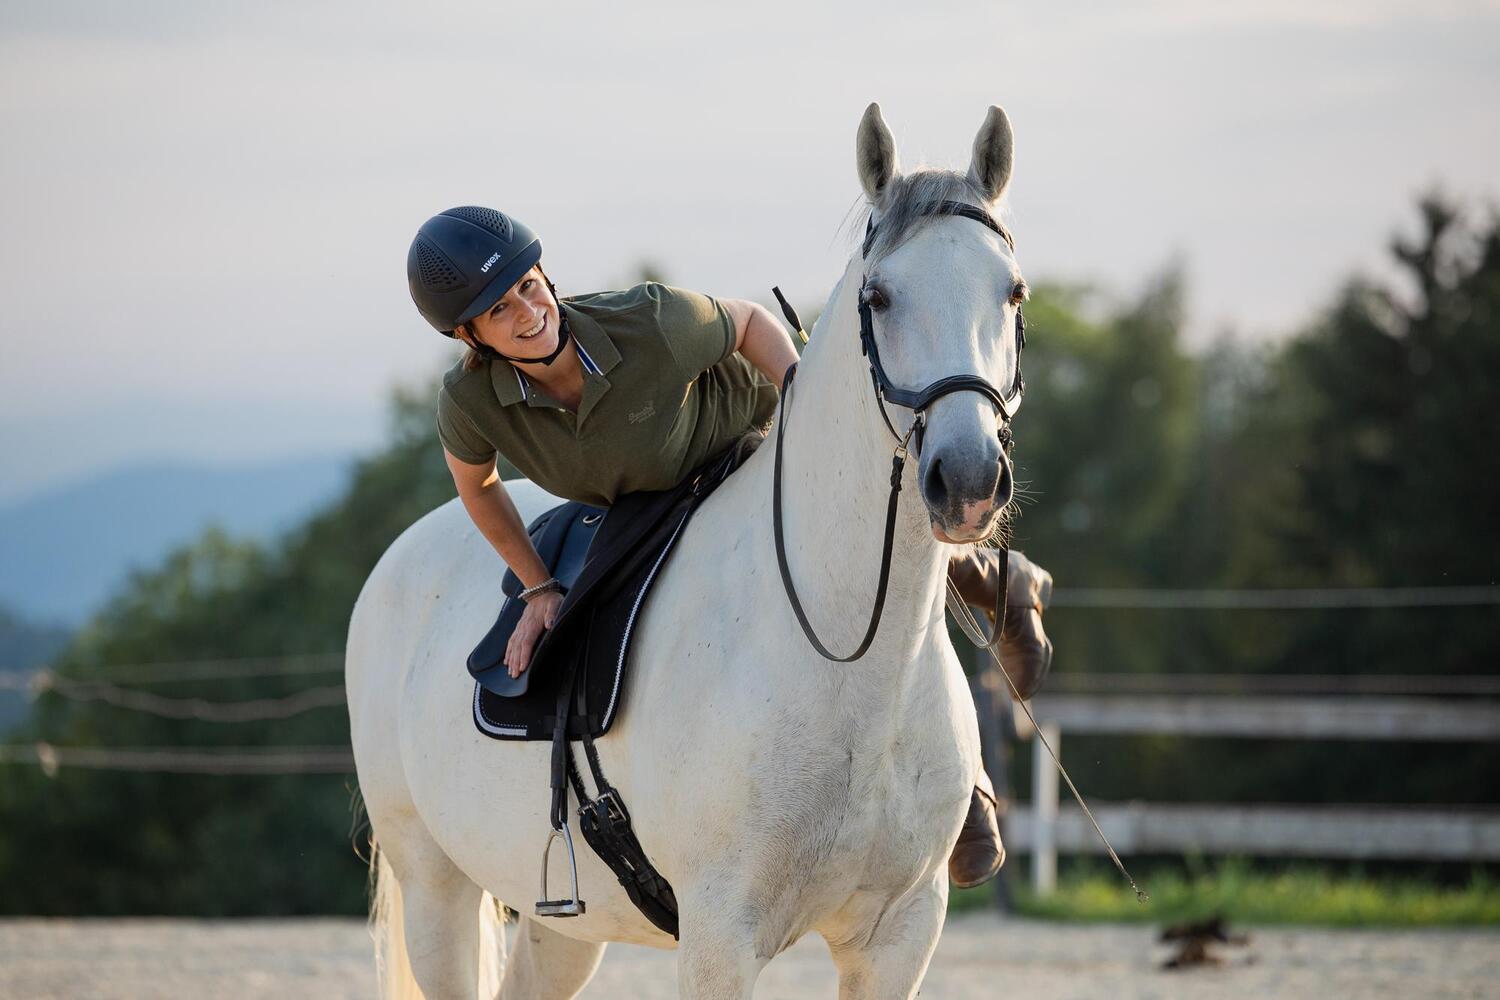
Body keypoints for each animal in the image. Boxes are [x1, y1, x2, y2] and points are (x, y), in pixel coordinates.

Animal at [348, 103, 1032, 1000]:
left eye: (1012, 291)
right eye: (880, 297)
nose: (969, 478)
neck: (845, 660)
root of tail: (399, 559)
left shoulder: (899, 936)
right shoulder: (719, 940)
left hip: (559, 922)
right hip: (437, 889)